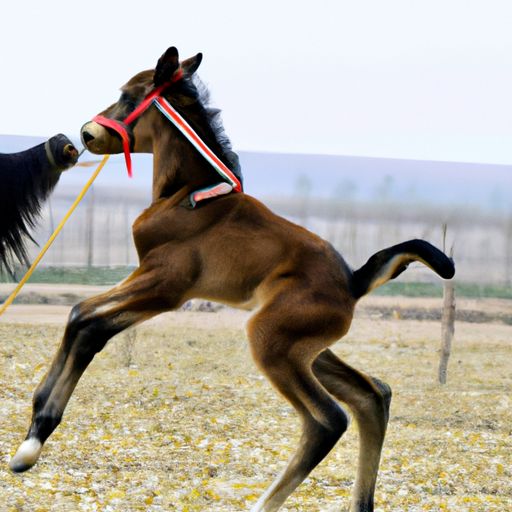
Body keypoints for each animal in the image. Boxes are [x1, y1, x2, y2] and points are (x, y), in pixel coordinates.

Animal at [10, 46, 454, 510]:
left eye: (128, 96)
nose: (86, 134)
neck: (188, 198)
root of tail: (354, 281)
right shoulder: (148, 279)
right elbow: (79, 314)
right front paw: (30, 439)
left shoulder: (166, 285)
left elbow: (91, 325)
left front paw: (32, 443)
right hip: (306, 348)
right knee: (373, 395)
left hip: (272, 342)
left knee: (328, 420)